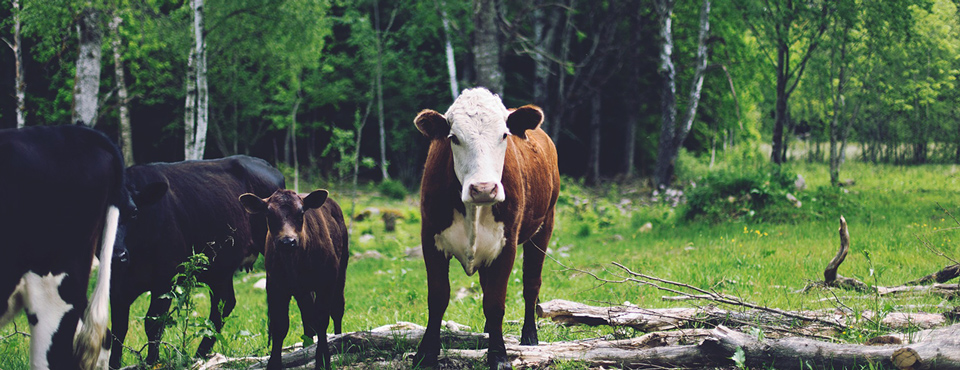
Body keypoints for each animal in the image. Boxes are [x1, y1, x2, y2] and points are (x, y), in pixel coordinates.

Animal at [108, 155, 284, 368]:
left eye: (134, 212)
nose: (117, 254)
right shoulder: (116, 286)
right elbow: (118, 330)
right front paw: (113, 364)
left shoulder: (165, 278)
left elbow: (153, 323)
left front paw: (152, 362)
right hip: (220, 269)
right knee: (223, 305)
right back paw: (199, 356)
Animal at [240, 189, 348, 368]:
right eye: (269, 214)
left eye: (301, 212)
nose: (287, 241)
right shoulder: (275, 285)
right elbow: (280, 325)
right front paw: (274, 363)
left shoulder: (326, 281)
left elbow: (322, 320)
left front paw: (323, 360)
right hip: (302, 291)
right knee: (307, 316)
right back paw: (306, 347)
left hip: (341, 271)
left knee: (337, 309)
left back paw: (337, 339)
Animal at [408, 87, 560, 370]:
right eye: (454, 138)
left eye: (504, 135)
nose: (483, 189)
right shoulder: (430, 240)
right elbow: (438, 298)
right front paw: (426, 354)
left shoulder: (506, 245)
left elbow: (495, 301)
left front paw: (498, 355)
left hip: (545, 225)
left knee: (531, 284)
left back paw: (529, 336)